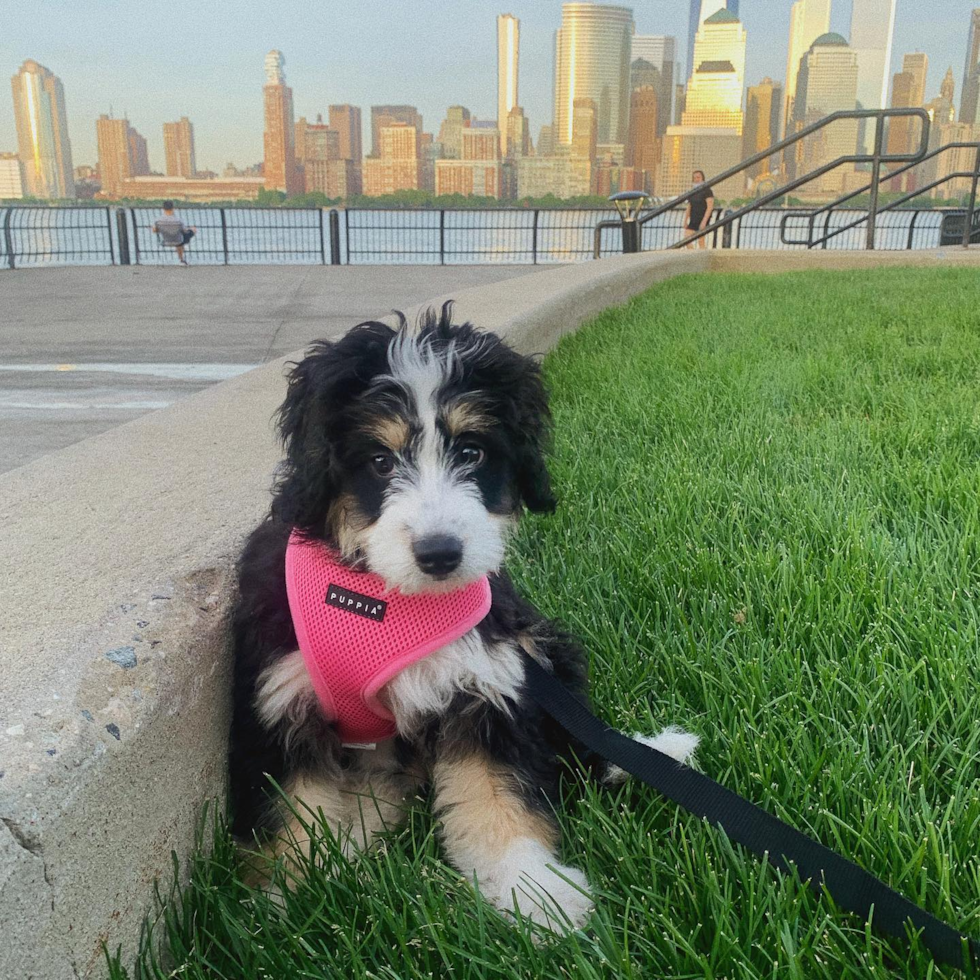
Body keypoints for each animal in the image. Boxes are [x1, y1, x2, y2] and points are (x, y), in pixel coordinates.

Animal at [230, 302, 696, 932]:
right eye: (380, 461)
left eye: (472, 453)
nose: (441, 554)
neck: (385, 596)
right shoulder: (280, 698)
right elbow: (289, 813)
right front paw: (289, 898)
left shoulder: (486, 680)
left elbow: (499, 793)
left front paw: (533, 889)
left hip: (538, 646)